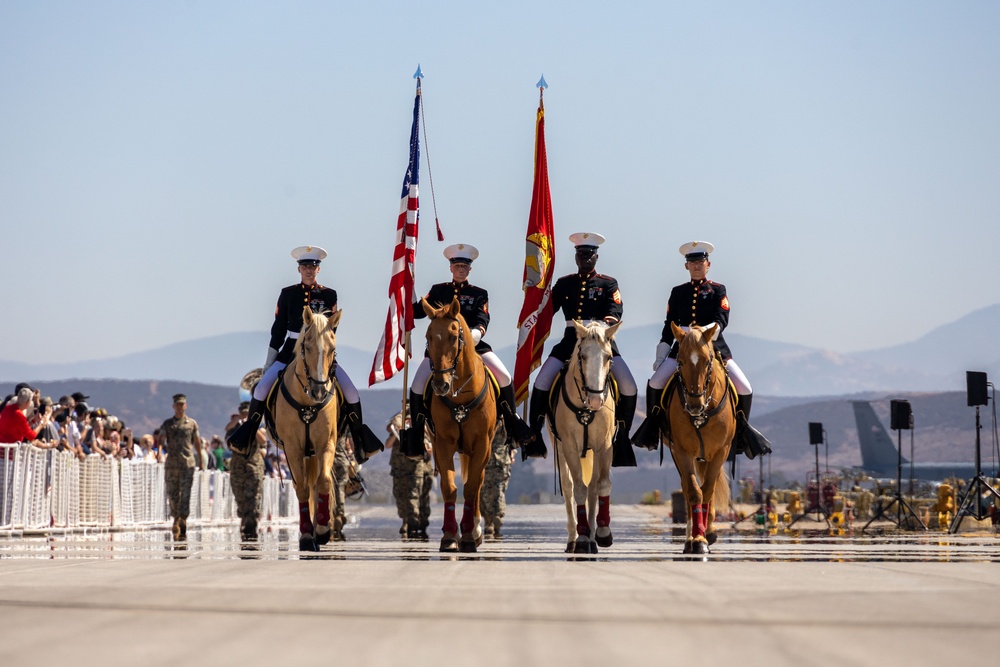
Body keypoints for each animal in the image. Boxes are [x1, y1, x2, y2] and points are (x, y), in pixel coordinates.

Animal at [272, 308, 342, 552]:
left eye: (332, 349)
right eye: (307, 347)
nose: (319, 391)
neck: (307, 402)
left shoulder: (326, 443)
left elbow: (323, 481)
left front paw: (322, 530)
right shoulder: (292, 447)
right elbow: (301, 487)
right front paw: (305, 535)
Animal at [420, 298, 494, 552]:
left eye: (454, 337)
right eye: (428, 336)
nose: (440, 385)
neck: (460, 394)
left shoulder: (482, 444)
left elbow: (471, 486)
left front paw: (470, 535)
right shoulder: (442, 443)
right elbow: (449, 487)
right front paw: (450, 536)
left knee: (479, 482)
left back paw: (476, 529)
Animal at [552, 320, 620, 556]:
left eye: (608, 357)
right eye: (582, 356)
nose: (596, 400)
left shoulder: (605, 446)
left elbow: (602, 485)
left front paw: (602, 532)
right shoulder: (570, 447)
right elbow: (579, 489)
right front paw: (581, 537)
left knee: (593, 488)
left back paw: (592, 539)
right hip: (560, 449)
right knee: (569, 487)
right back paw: (574, 539)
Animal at [664, 320, 736, 556]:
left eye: (708, 361)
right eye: (680, 361)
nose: (695, 405)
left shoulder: (721, 451)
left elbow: (708, 490)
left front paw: (705, 534)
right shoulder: (682, 451)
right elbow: (694, 492)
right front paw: (697, 539)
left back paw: (709, 529)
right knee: (687, 489)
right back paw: (691, 536)